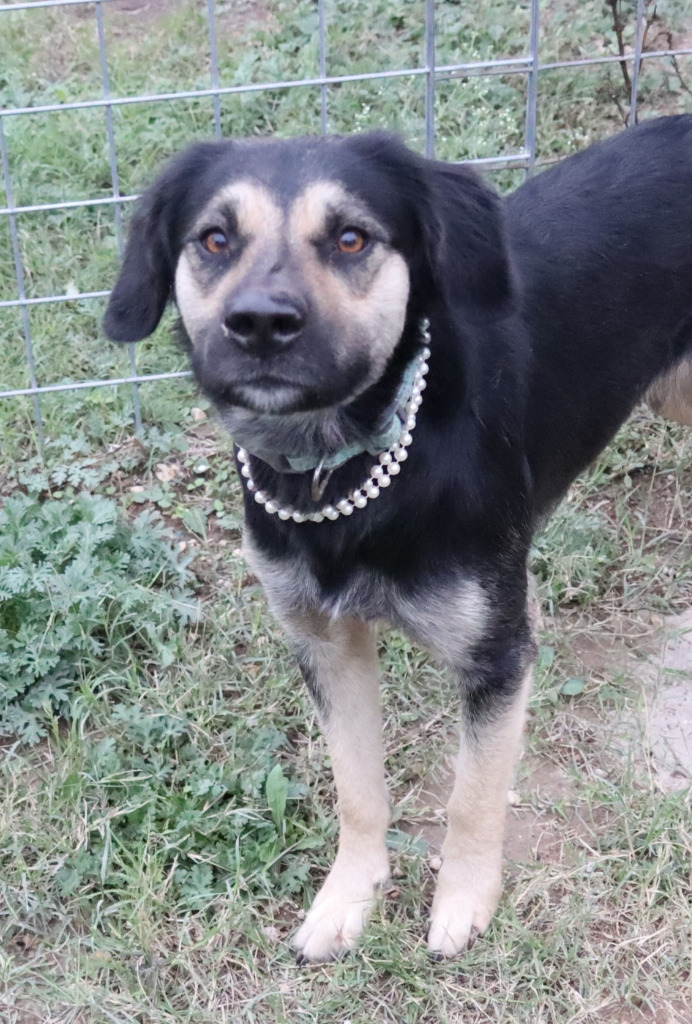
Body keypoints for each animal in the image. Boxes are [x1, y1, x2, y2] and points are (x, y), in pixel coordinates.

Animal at [103, 117, 692, 958]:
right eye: (214, 239)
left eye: (351, 238)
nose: (259, 324)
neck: (339, 471)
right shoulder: (323, 642)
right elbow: (357, 788)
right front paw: (349, 896)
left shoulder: (497, 655)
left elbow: (474, 793)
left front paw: (463, 901)